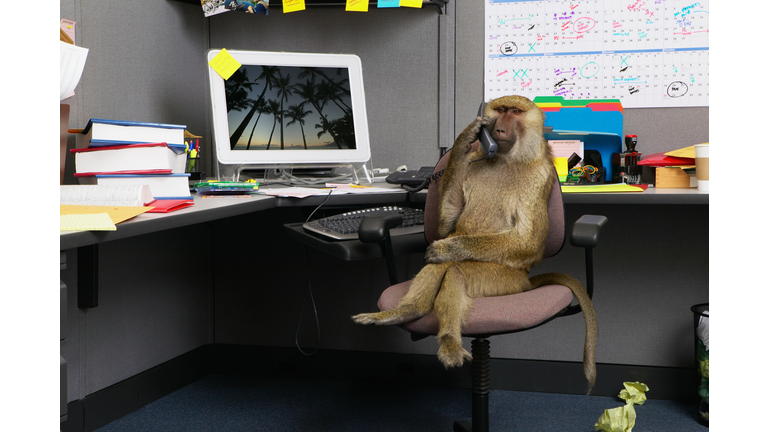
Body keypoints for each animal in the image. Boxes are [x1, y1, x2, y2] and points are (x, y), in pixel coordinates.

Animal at [352, 95, 597, 393]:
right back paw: (406, 312)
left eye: (515, 112)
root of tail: (527, 283)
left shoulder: (540, 177)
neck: (506, 158)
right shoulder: (469, 165)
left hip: (503, 281)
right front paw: (464, 138)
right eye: (500, 110)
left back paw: (447, 338)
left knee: (454, 270)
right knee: (439, 268)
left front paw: (446, 248)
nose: (499, 129)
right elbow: (445, 228)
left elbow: (526, 241)